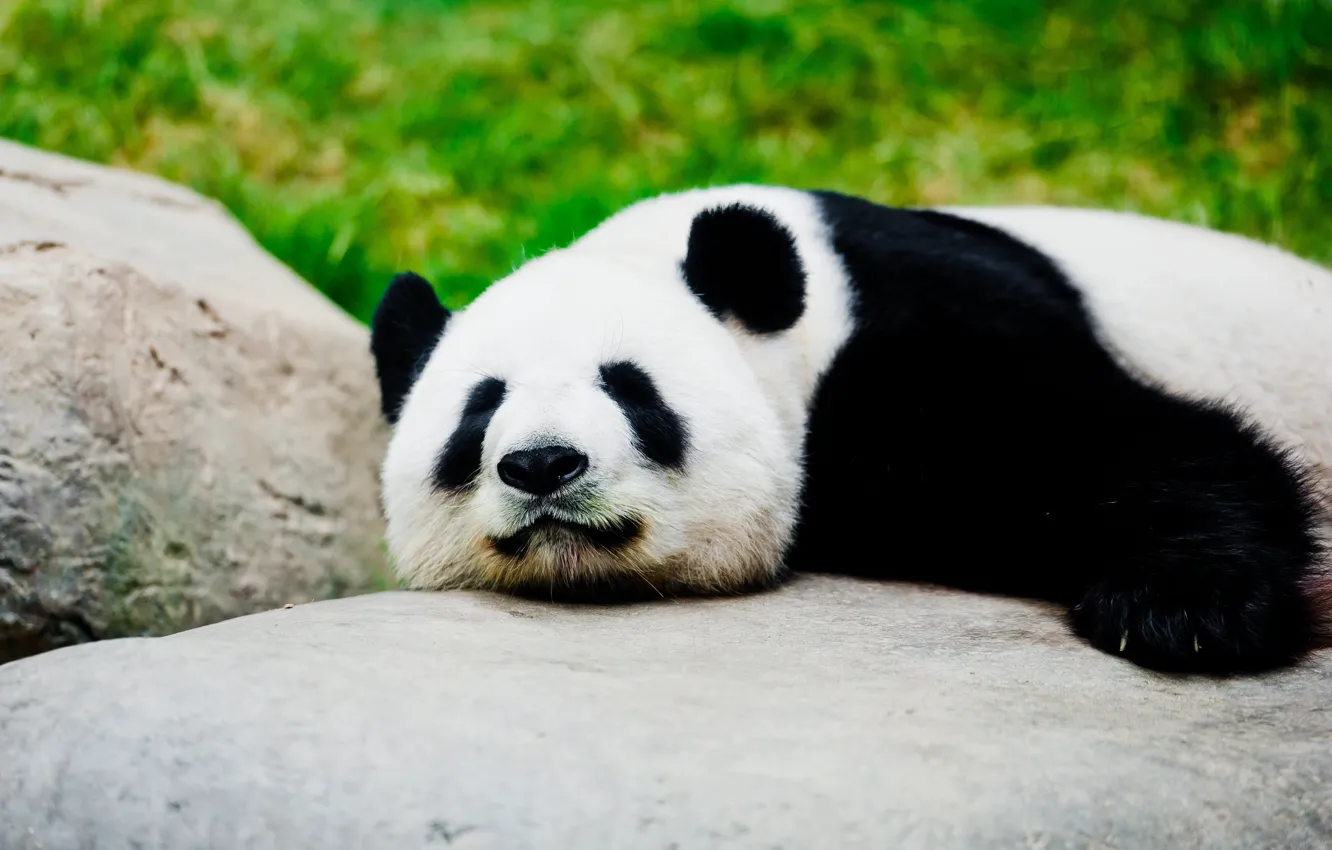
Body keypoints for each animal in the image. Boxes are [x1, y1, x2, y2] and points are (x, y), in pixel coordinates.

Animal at [369, 184, 1332, 675]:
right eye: (480, 410)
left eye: (632, 389)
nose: (543, 464)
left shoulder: (922, 328)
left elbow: (1132, 440)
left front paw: (1184, 610)